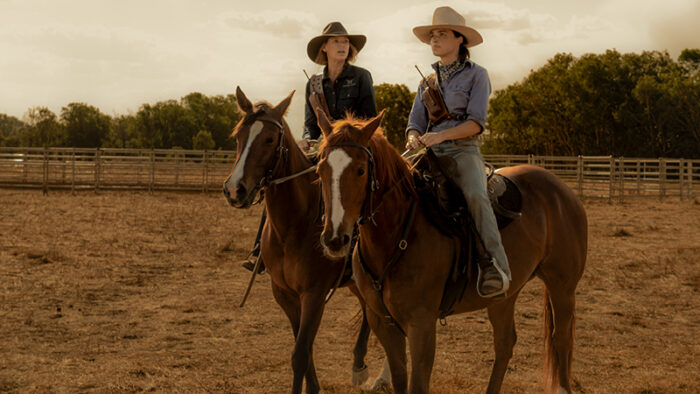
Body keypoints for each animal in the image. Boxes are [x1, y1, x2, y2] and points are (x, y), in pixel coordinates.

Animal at [224, 87, 378, 394]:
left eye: (270, 139)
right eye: (238, 136)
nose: (235, 190)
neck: (294, 227)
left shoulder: (314, 295)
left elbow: (300, 354)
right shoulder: (285, 294)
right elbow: (302, 347)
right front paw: (314, 387)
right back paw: (360, 365)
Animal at [314, 111, 588, 394]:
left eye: (360, 170)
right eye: (320, 169)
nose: (335, 239)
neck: (399, 232)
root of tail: (561, 188)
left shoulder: (422, 325)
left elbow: (417, 384)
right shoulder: (382, 322)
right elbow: (399, 378)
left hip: (562, 287)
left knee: (561, 338)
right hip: (505, 296)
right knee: (505, 343)